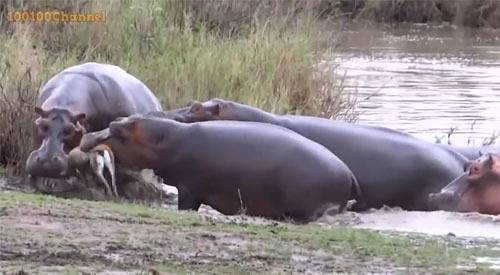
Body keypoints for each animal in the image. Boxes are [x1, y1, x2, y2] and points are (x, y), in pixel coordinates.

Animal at [80, 115, 358, 223]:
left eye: (130, 126)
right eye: (131, 117)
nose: (114, 121)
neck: (167, 140)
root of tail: (349, 173)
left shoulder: (189, 189)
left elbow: (186, 206)